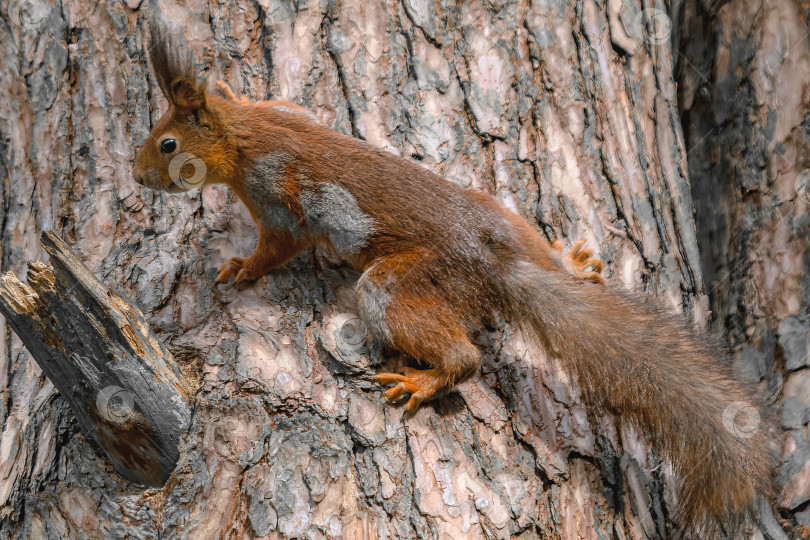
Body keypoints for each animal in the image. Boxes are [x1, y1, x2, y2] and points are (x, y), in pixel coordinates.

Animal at [133, 15, 772, 532]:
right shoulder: (282, 113)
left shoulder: (275, 197)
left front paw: (240, 268)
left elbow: (276, 248)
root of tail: (497, 267)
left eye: (167, 144)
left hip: (401, 285)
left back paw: (424, 380)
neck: (245, 136)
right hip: (503, 216)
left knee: (459, 353)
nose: (137, 177)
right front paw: (231, 86)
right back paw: (568, 263)